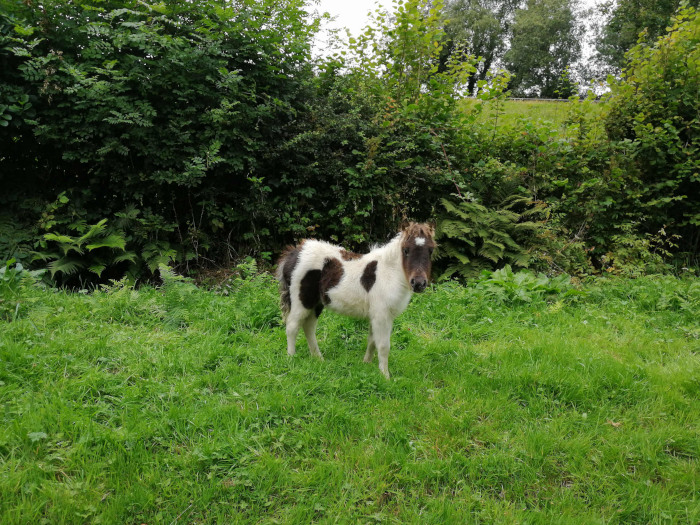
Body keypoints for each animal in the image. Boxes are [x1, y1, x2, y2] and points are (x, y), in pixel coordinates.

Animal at [275, 223, 435, 379]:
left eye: (431, 250)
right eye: (406, 250)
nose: (419, 283)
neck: (389, 273)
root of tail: (294, 254)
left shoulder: (376, 315)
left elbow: (372, 341)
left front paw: (367, 364)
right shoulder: (382, 315)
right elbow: (383, 346)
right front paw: (385, 376)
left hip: (316, 304)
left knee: (308, 327)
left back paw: (318, 358)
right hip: (302, 301)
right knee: (292, 326)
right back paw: (291, 358)